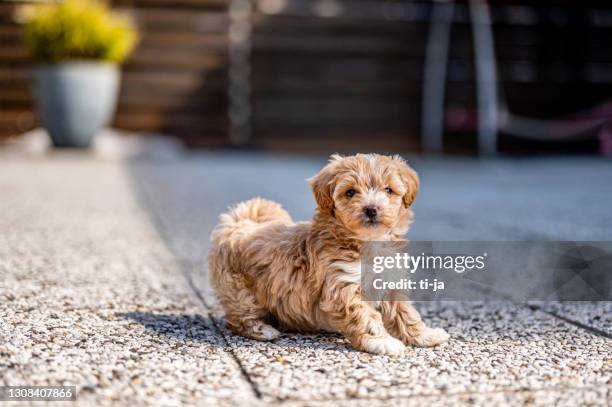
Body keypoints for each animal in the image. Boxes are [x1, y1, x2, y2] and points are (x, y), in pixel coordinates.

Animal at [210, 155, 450, 356]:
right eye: (350, 192)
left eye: (388, 190)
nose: (371, 209)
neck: (366, 243)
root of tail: (240, 224)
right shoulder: (342, 284)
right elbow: (364, 316)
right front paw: (382, 341)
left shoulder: (389, 282)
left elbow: (405, 313)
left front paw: (424, 335)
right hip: (238, 289)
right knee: (239, 315)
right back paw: (261, 329)